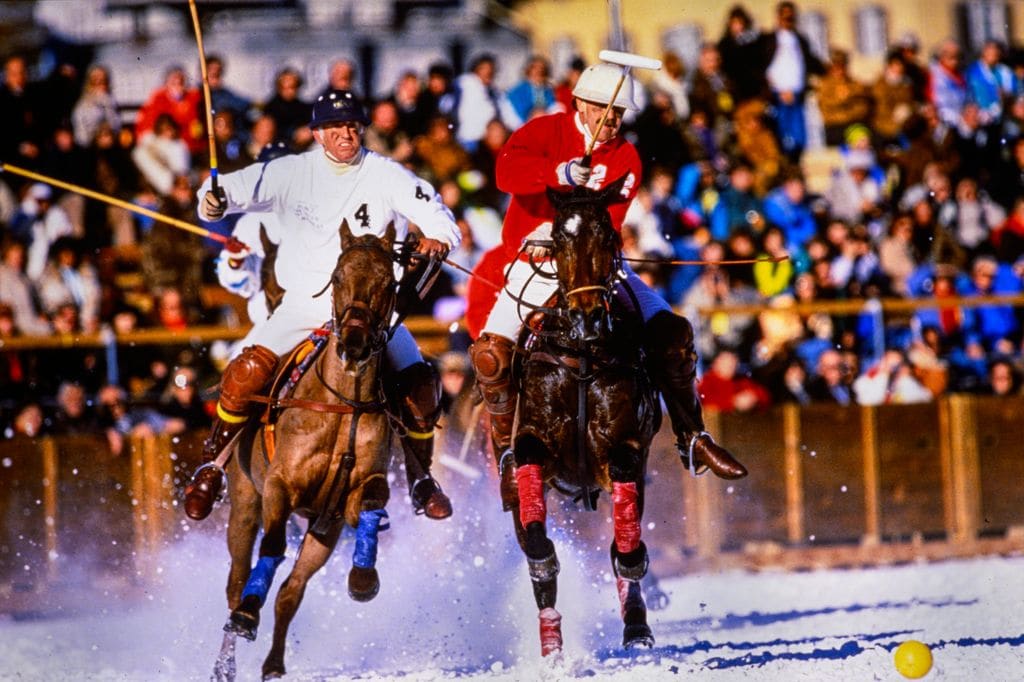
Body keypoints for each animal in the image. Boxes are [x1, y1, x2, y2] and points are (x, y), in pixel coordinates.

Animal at [211, 220, 395, 675]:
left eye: (388, 281)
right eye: (338, 277)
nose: (355, 342)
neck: (343, 404)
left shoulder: (345, 503)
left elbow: (371, 502)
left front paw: (363, 579)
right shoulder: (279, 486)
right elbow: (273, 545)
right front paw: (247, 615)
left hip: (322, 533)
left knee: (291, 590)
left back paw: (274, 664)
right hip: (244, 502)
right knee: (237, 579)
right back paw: (229, 654)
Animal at [505, 178, 663, 655]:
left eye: (609, 236)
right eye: (557, 240)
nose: (588, 318)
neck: (581, 354)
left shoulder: (625, 448)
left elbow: (627, 550)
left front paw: (637, 623)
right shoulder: (532, 441)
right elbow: (538, 546)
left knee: (621, 544)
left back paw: (636, 626)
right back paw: (551, 643)